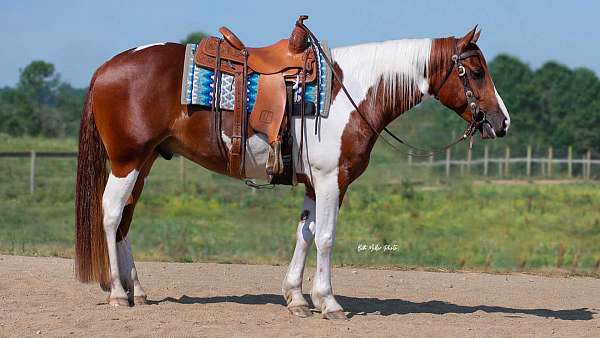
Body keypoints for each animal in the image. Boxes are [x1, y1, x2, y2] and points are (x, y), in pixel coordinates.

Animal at [72, 27, 508, 320]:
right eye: (476, 72)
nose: (501, 122)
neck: (353, 91)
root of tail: (105, 68)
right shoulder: (332, 179)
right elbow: (327, 237)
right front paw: (329, 302)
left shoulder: (316, 183)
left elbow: (306, 233)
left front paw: (297, 298)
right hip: (127, 160)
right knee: (111, 213)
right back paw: (118, 294)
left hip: (143, 162)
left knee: (126, 218)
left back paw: (138, 290)